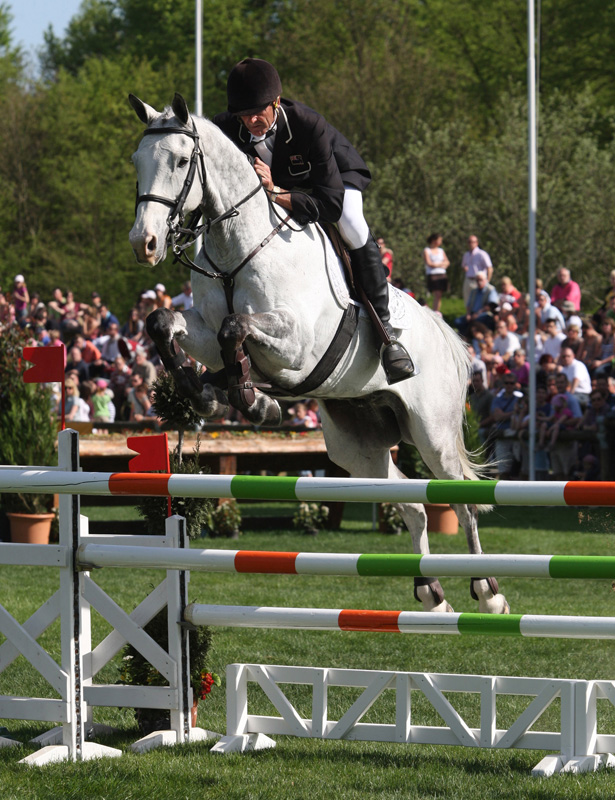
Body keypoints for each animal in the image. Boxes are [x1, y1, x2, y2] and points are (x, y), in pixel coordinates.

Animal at [127, 92, 508, 612]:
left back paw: (488, 593)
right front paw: (207, 392)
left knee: (460, 499)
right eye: (136, 162)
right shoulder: (203, 328)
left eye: (182, 161)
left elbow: (234, 327)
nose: (144, 245)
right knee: (412, 502)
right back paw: (430, 593)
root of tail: (441, 329)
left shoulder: (296, 344)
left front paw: (254, 401)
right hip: (356, 446)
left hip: (432, 433)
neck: (236, 251)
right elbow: (167, 323)